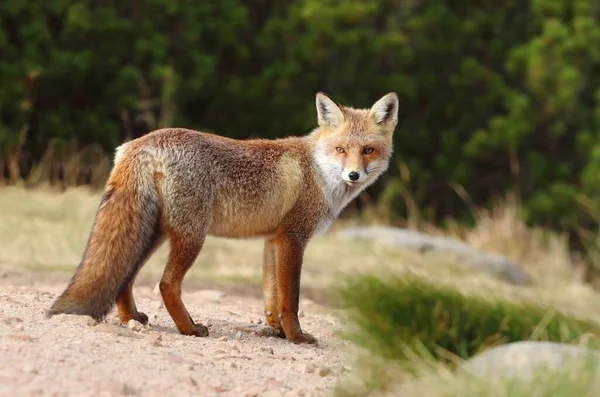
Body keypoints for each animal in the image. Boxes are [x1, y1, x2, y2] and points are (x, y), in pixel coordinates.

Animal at [48, 91, 398, 342]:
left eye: (368, 150)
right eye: (341, 149)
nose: (353, 175)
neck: (316, 171)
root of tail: (141, 144)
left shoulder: (273, 240)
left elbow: (271, 296)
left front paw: (277, 332)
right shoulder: (294, 238)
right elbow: (291, 299)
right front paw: (297, 337)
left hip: (154, 233)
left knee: (125, 278)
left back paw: (133, 319)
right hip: (192, 236)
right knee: (166, 284)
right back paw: (190, 329)